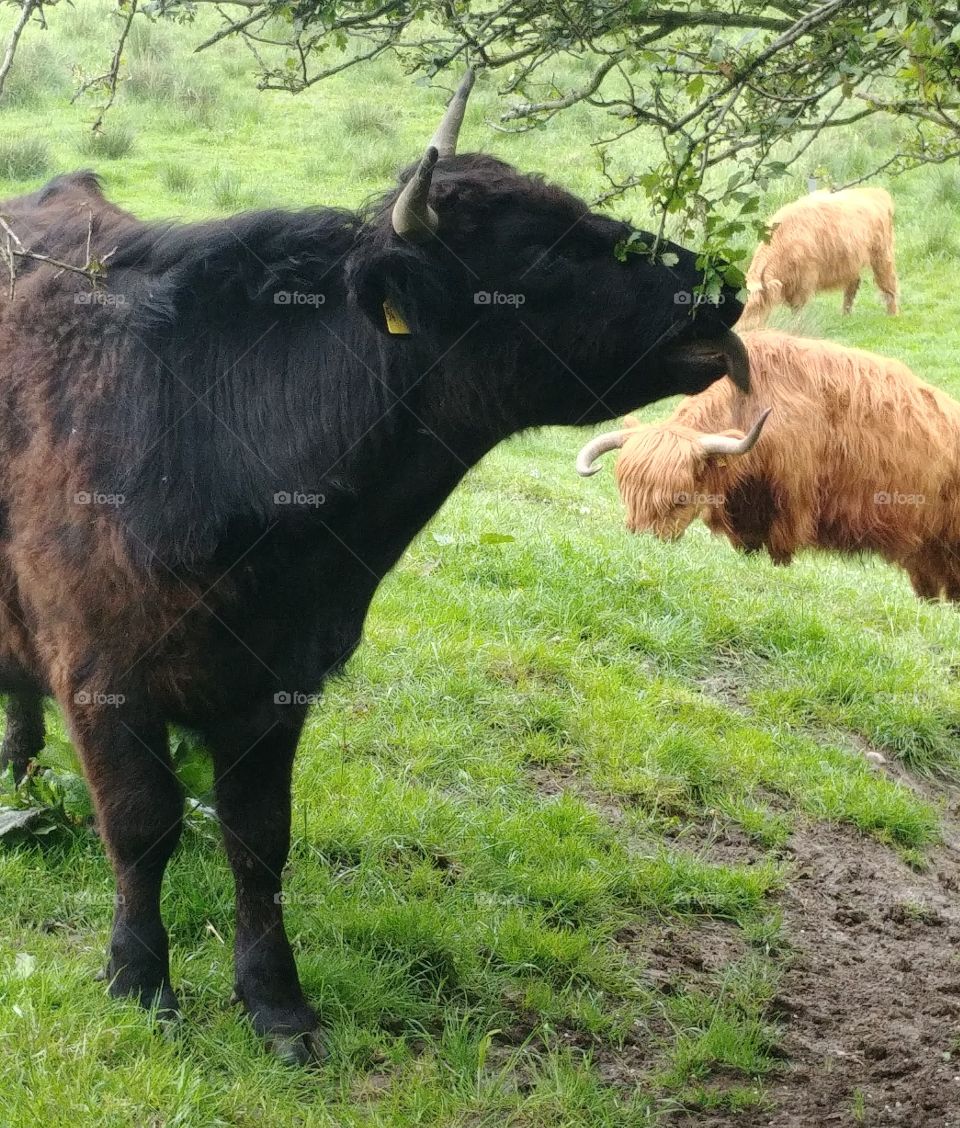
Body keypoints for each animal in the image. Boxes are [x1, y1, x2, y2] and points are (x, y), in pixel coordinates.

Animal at [0, 71, 750, 1064]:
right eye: (540, 251)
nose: (724, 284)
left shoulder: (278, 686)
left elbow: (259, 840)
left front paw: (277, 1004)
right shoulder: (102, 675)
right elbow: (139, 827)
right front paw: (140, 980)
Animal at [576, 329, 960, 601]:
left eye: (680, 499)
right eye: (628, 496)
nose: (642, 543)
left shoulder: (789, 508)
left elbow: (780, 556)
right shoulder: (745, 518)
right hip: (927, 556)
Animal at [738, 187, 899, 329]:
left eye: (756, 307)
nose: (743, 328)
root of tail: (876, 192)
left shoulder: (805, 280)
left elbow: (797, 308)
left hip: (882, 254)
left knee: (888, 283)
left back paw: (893, 314)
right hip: (852, 261)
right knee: (852, 285)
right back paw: (845, 315)